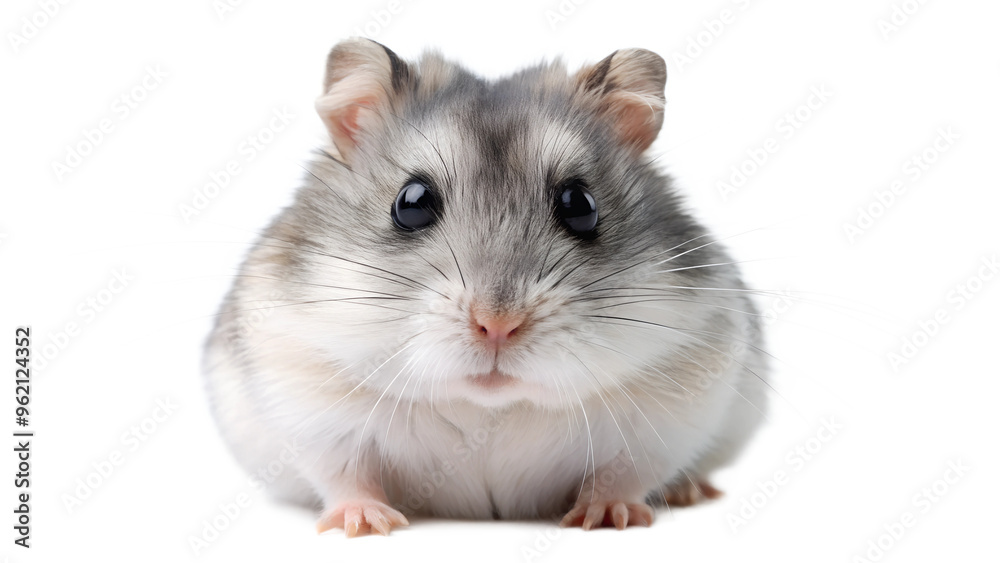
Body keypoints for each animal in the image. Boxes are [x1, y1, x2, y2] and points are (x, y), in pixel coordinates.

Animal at [203, 38, 769, 536]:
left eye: (580, 206)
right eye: (410, 203)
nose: (498, 325)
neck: (489, 407)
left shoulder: (670, 408)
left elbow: (626, 472)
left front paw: (609, 517)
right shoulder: (305, 396)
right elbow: (344, 472)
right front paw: (364, 524)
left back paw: (689, 491)